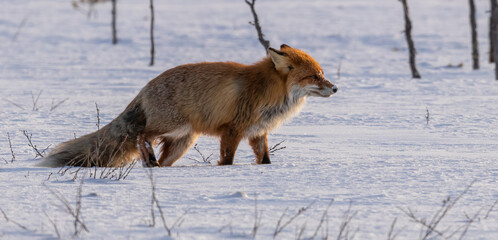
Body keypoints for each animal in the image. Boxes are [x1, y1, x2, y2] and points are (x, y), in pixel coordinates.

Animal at [37, 45, 336, 168]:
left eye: (322, 73)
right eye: (315, 76)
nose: (335, 88)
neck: (269, 91)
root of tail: (146, 87)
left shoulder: (257, 132)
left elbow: (265, 159)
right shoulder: (232, 129)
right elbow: (227, 159)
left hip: (182, 141)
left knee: (158, 154)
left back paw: (153, 165)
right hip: (174, 126)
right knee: (141, 135)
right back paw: (149, 161)